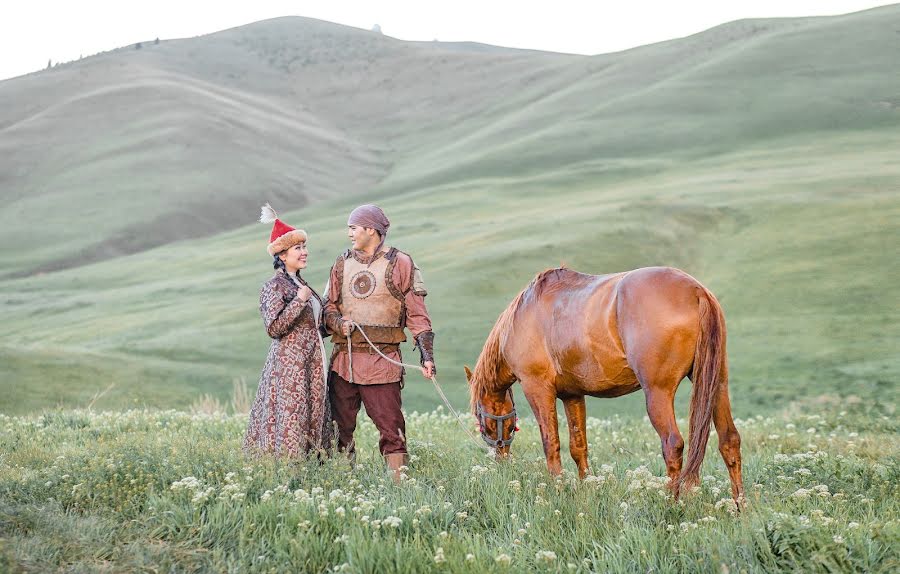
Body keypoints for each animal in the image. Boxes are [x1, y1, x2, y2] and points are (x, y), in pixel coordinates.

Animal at [468, 268, 740, 502]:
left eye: (481, 422)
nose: (501, 460)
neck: (522, 316)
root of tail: (696, 290)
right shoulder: (572, 395)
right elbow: (578, 447)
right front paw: (586, 489)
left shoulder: (537, 389)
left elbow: (551, 444)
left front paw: (557, 490)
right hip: (717, 386)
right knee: (729, 440)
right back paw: (740, 507)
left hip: (658, 393)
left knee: (673, 444)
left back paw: (671, 503)